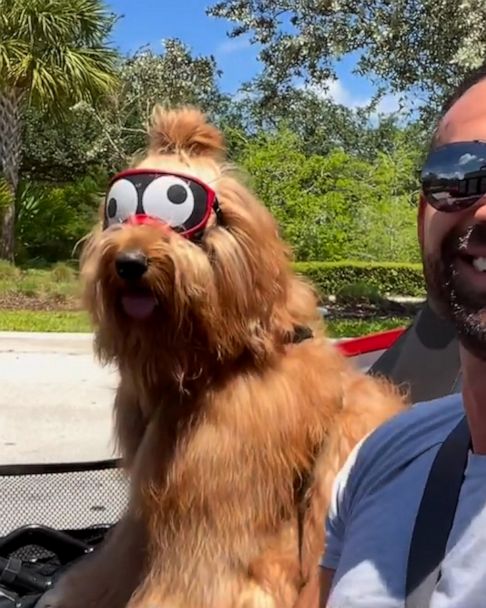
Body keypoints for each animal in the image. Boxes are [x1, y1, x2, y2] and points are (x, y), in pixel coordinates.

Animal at [39, 105, 406, 608]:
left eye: (177, 205)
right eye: (116, 211)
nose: (129, 262)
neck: (212, 365)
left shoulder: (216, 509)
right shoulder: (149, 501)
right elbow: (123, 554)